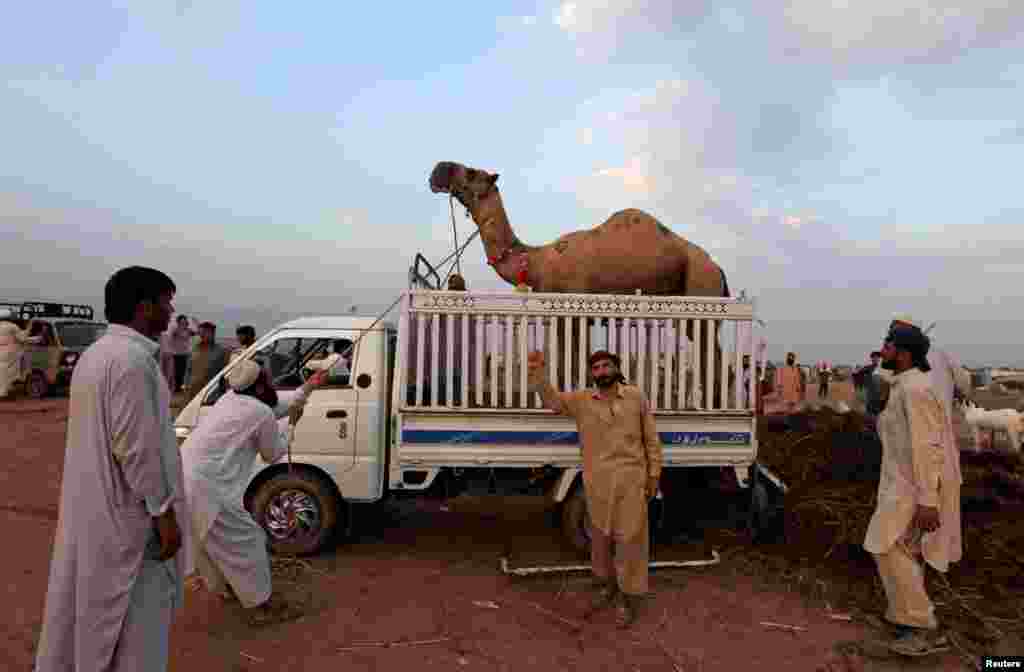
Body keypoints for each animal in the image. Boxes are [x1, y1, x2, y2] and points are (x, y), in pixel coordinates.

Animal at [428, 162, 733, 403]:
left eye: (471, 171)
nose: (438, 171)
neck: (537, 261)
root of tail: (718, 268)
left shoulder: (572, 309)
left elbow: (573, 365)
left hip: (701, 285)